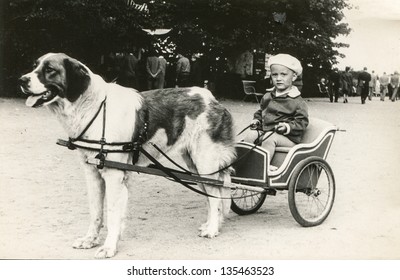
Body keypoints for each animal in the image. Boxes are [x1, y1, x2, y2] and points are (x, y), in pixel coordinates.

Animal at [19, 52, 238, 258]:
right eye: (34, 66)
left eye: (49, 70)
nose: (22, 79)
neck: (93, 108)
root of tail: (213, 100)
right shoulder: (92, 173)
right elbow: (96, 211)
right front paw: (90, 240)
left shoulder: (114, 175)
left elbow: (112, 213)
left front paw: (109, 247)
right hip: (194, 164)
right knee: (213, 193)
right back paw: (213, 224)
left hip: (205, 161)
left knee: (215, 194)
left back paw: (212, 229)